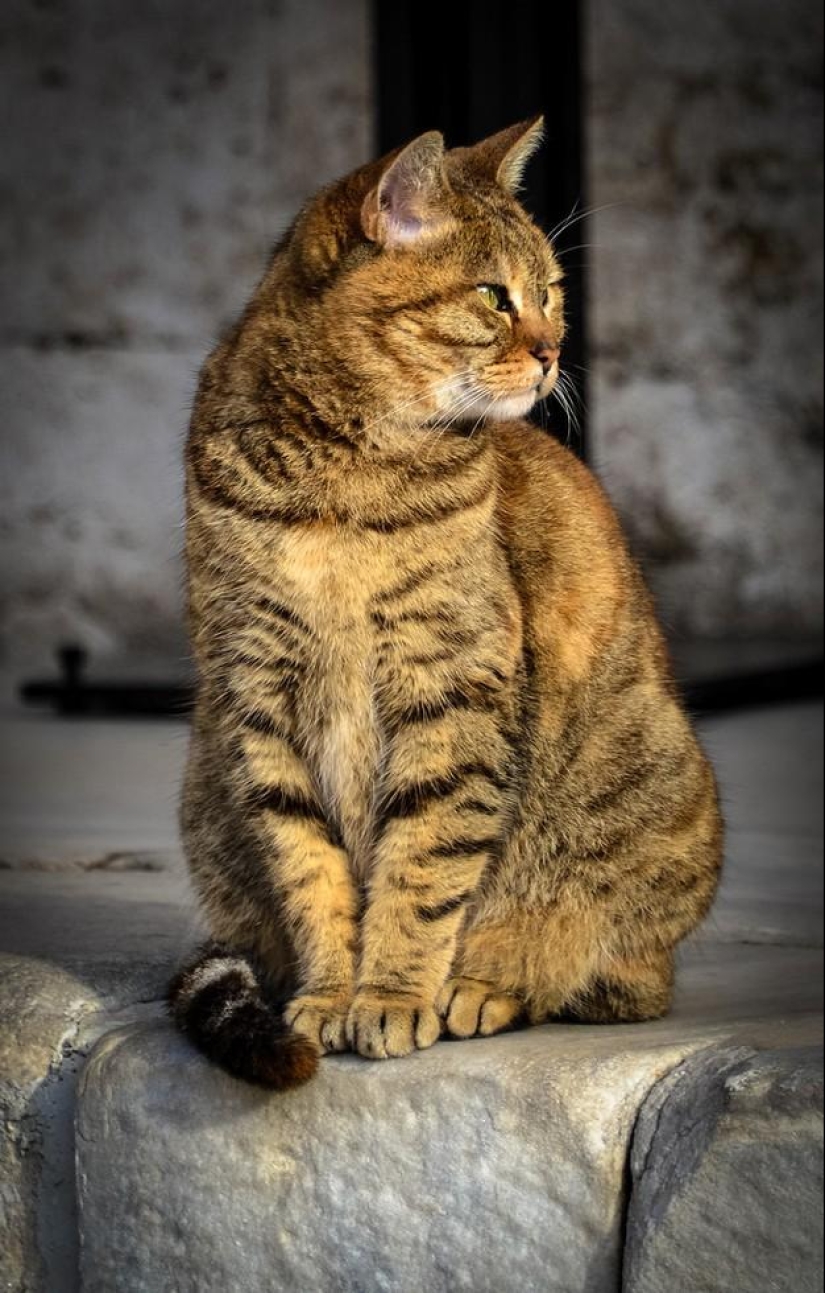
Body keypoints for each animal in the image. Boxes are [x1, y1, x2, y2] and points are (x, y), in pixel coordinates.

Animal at [168, 121, 724, 1091]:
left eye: (551, 292)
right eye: (493, 296)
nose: (550, 350)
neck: (342, 480)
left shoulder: (451, 687)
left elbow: (422, 865)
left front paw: (391, 996)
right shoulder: (256, 695)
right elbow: (309, 869)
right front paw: (328, 995)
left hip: (648, 807)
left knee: (606, 970)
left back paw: (483, 983)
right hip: (204, 793)